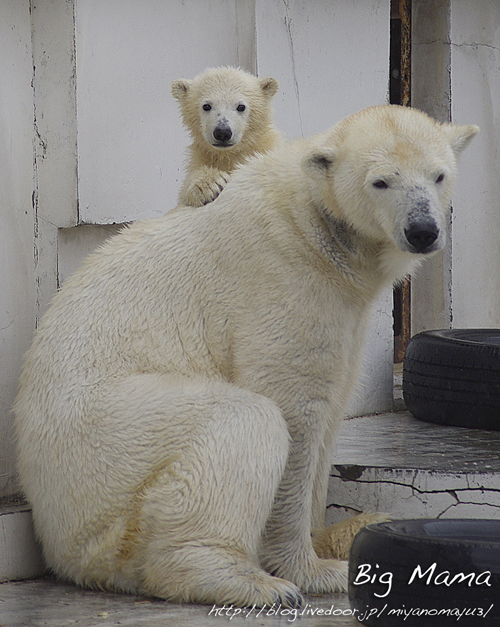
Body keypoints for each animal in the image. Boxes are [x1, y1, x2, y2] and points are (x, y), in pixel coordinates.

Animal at [14, 106, 476, 608]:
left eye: (439, 175)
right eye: (381, 182)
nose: (423, 230)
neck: (313, 225)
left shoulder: (347, 309)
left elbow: (332, 405)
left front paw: (326, 541)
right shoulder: (284, 281)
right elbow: (293, 407)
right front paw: (310, 570)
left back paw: (359, 525)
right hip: (110, 441)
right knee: (240, 421)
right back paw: (248, 581)